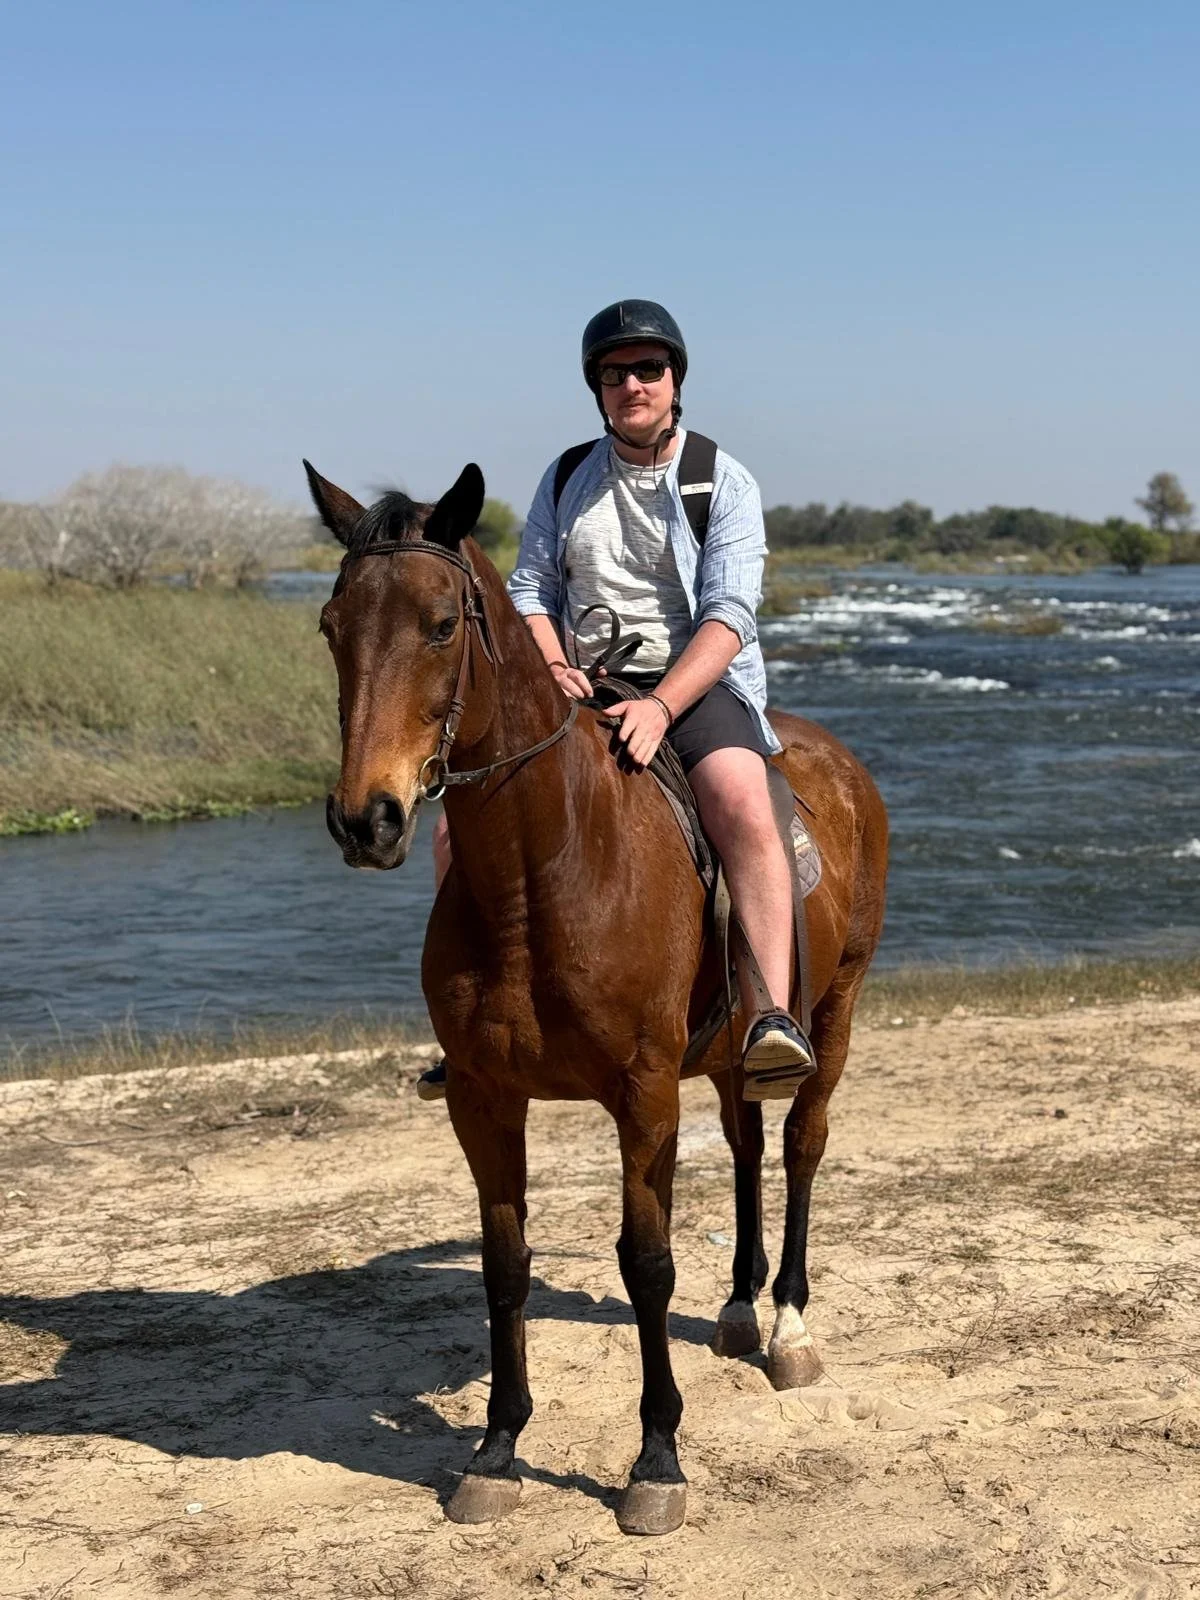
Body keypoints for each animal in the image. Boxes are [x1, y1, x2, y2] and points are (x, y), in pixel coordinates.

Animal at [305, 459, 888, 1537]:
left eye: (441, 624)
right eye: (332, 624)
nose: (368, 819)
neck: (544, 873)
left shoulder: (642, 1093)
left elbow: (645, 1262)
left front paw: (657, 1459)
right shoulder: (484, 1098)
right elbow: (504, 1265)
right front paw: (497, 1446)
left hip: (836, 1008)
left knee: (800, 1146)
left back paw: (788, 1323)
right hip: (728, 1048)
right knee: (748, 1145)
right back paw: (739, 1307)